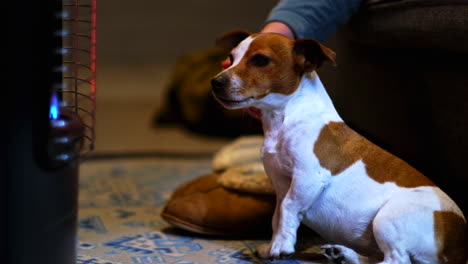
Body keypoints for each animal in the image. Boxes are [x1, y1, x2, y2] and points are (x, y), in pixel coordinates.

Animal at [213, 31, 468, 264]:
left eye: (260, 60)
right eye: (231, 58)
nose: (215, 82)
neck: (288, 116)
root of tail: (459, 245)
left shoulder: (308, 177)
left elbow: (288, 208)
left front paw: (282, 246)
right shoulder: (281, 183)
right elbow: (278, 217)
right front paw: (272, 245)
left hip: (387, 218)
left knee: (396, 260)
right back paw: (343, 254)